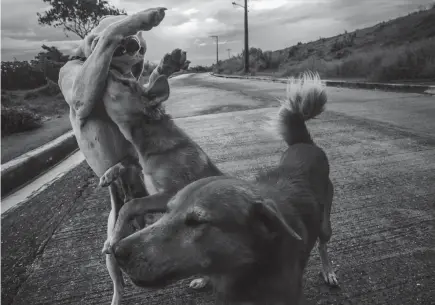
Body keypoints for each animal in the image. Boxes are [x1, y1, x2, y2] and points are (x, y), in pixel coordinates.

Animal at [109, 72, 340, 302]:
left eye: (125, 83)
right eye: (168, 212)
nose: (119, 252)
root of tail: (304, 143)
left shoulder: (167, 190)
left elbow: (131, 204)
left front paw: (114, 233)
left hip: (325, 225)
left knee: (323, 244)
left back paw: (328, 271)